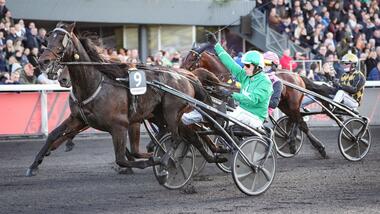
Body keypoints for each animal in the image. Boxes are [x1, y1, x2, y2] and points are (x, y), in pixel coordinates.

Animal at [25, 22, 215, 177]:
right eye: (48, 39)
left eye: (61, 39)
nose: (43, 61)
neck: (94, 84)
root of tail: (186, 77)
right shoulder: (78, 118)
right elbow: (53, 135)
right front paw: (34, 165)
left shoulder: (120, 125)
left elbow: (122, 158)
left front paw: (153, 160)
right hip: (163, 116)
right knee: (190, 135)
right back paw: (213, 154)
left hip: (171, 112)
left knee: (177, 137)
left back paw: (169, 158)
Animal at [181, 44, 326, 157]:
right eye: (184, 58)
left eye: (192, 58)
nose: (182, 71)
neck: (225, 80)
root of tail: (296, 75)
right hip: (285, 105)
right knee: (296, 119)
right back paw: (291, 141)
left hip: (292, 103)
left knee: (301, 122)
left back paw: (319, 147)